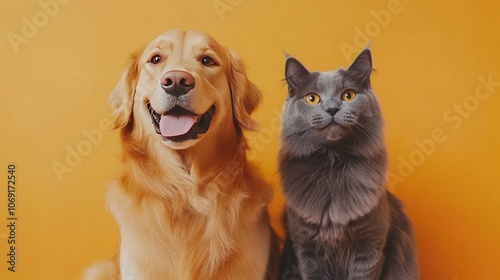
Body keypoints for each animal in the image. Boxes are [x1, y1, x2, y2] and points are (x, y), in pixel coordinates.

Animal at [278, 49, 418, 278]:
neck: (332, 164)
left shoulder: (369, 251)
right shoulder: (307, 252)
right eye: (311, 98)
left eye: (348, 95)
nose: (332, 108)